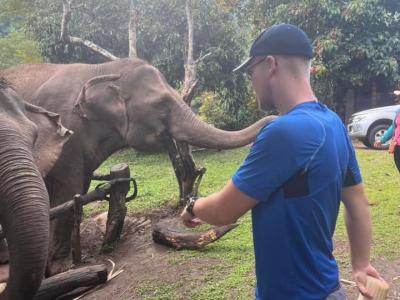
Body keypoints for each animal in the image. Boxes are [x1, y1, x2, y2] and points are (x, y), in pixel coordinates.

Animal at [0, 57, 276, 274]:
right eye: (162, 105)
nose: (273, 117)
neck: (102, 70)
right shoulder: (64, 131)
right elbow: (67, 191)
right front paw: (61, 269)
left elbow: (78, 187)